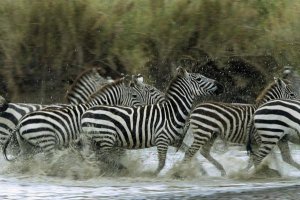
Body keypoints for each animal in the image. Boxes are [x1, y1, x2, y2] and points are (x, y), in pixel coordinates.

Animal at [79, 67, 223, 175]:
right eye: (199, 79)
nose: (220, 85)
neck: (172, 112)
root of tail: (86, 112)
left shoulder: (174, 140)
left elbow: (190, 153)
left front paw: (203, 171)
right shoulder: (162, 140)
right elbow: (162, 163)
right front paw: (152, 175)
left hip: (95, 141)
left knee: (96, 157)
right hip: (105, 139)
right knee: (104, 157)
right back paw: (122, 170)